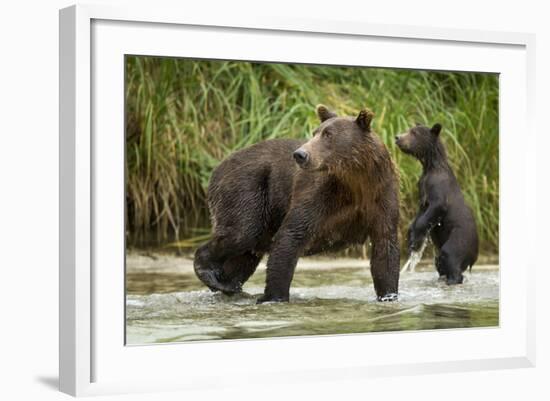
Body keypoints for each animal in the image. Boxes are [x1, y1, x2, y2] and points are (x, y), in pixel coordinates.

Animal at [194, 104, 402, 302]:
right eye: (315, 132)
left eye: (328, 134)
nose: (300, 154)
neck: (356, 181)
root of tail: (218, 167)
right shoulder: (320, 194)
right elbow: (291, 234)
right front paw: (274, 296)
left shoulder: (381, 197)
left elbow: (385, 249)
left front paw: (388, 295)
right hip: (248, 189)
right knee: (242, 232)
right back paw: (210, 274)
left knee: (245, 255)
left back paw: (228, 284)